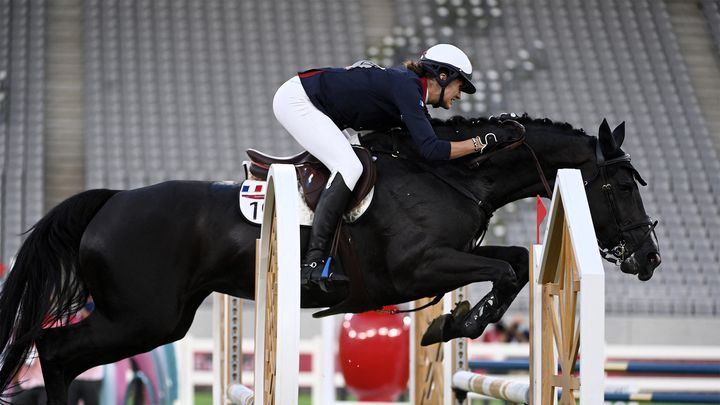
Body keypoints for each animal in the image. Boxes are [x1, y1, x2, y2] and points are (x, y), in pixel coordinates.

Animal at [0, 113, 660, 400]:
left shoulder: (448, 258)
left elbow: (516, 263)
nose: (648, 258)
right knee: (55, 351)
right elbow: (502, 270)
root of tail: (111, 201)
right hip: (144, 316)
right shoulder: (421, 267)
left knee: (59, 354)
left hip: (159, 317)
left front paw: (447, 324)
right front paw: (453, 323)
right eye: (620, 185)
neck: (451, 176)